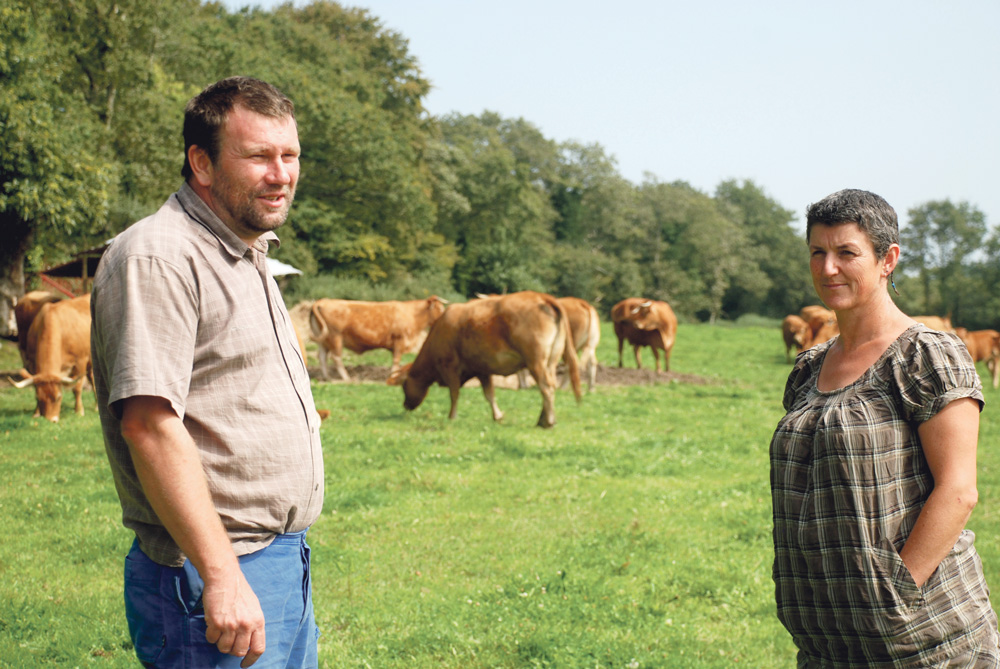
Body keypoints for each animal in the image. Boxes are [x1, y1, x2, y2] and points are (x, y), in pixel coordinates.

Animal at [7, 290, 92, 418]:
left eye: (58, 397)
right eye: (39, 398)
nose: (51, 420)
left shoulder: (80, 361)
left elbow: (77, 388)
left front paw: (79, 411)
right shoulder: (32, 363)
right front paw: (36, 412)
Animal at [304, 294, 446, 378]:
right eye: (440, 309)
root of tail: (322, 301)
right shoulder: (399, 340)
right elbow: (396, 360)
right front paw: (393, 376)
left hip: (323, 340)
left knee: (322, 357)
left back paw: (327, 377)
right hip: (336, 337)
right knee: (336, 357)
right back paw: (346, 378)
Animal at [386, 290, 584, 426]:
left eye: (404, 385)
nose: (405, 405)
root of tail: (541, 297)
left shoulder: (449, 366)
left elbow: (454, 393)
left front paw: (452, 416)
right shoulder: (482, 369)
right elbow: (490, 394)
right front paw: (498, 416)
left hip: (536, 362)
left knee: (546, 387)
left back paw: (547, 422)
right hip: (550, 361)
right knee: (550, 387)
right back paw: (543, 419)